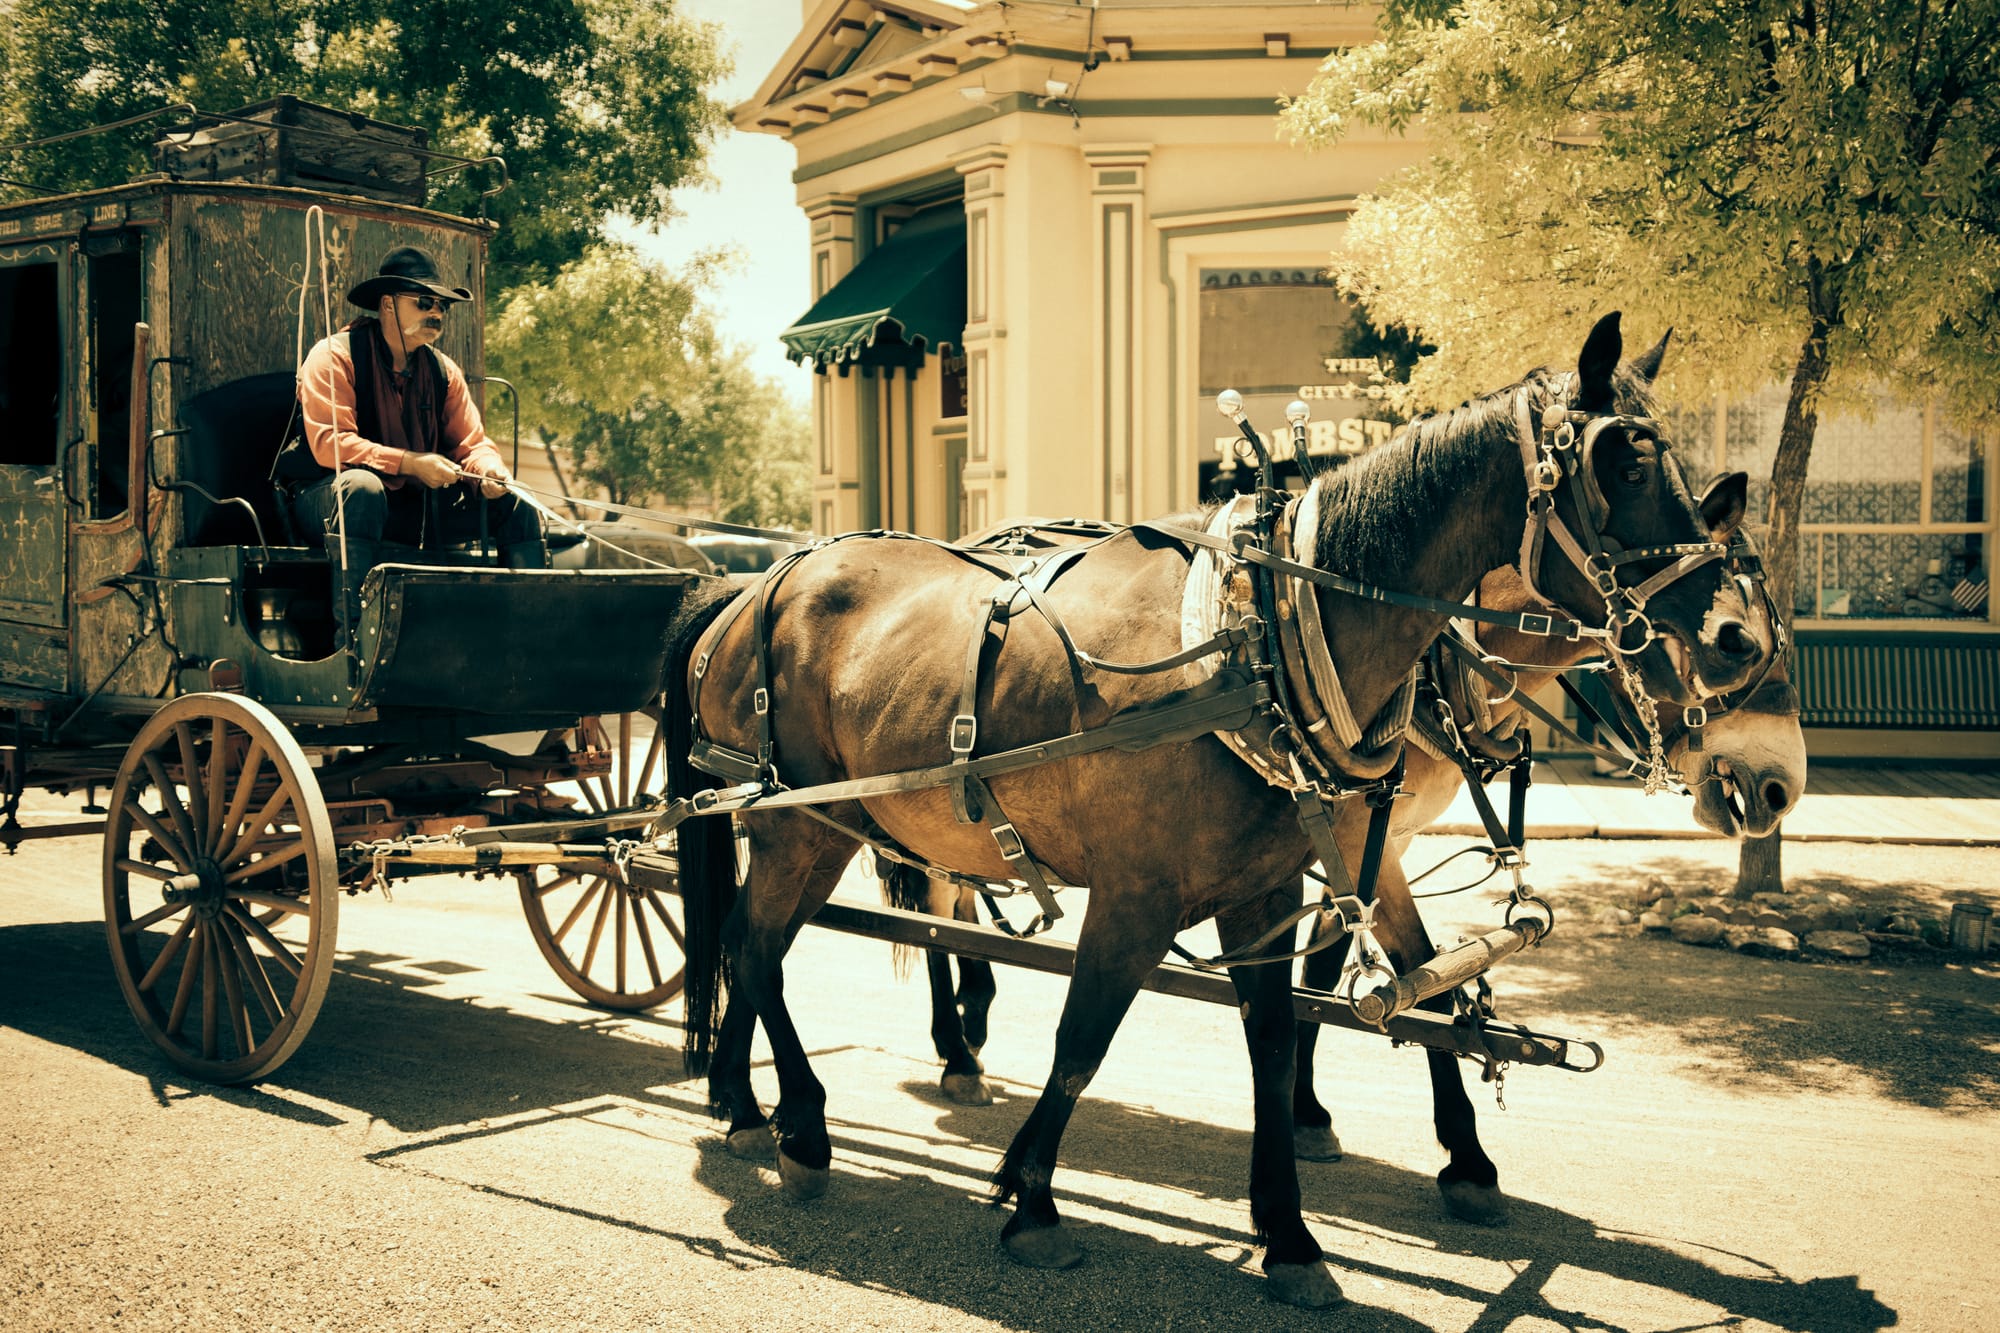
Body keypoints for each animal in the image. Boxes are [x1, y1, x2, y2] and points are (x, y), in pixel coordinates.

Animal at [668, 314, 1768, 1304]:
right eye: (1623, 460)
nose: (1735, 640)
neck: (1264, 642)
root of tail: (751, 584)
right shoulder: (1137, 894)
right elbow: (1082, 1039)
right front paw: (1032, 1198)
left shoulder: (1268, 889)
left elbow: (1281, 1041)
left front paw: (1289, 1231)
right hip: (792, 822)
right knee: (755, 947)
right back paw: (804, 1124)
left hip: (828, 824)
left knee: (751, 945)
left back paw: (752, 1103)